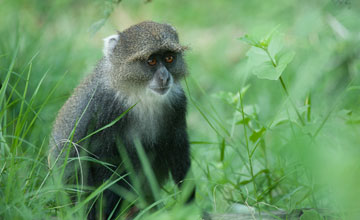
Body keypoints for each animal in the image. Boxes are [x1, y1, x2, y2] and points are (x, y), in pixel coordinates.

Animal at [48, 21, 194, 220]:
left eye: (169, 58)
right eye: (151, 61)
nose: (165, 77)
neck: (139, 95)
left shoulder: (177, 102)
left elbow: (178, 151)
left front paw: (192, 208)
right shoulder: (105, 107)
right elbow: (104, 162)